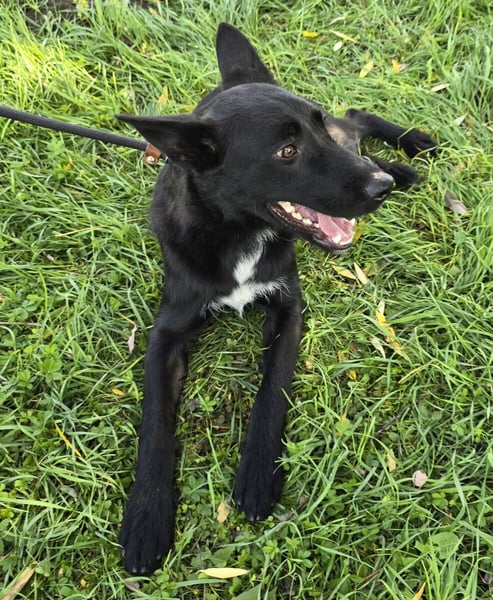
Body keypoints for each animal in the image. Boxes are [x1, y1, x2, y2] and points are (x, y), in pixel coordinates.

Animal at [116, 23, 435, 574]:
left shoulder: (289, 310)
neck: (237, 233)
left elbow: (272, 392)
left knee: (355, 118)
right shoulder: (166, 333)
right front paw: (147, 516)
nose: (381, 189)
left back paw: (408, 151)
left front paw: (258, 473)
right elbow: (155, 422)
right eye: (286, 152)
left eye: (312, 132)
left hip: (349, 137)